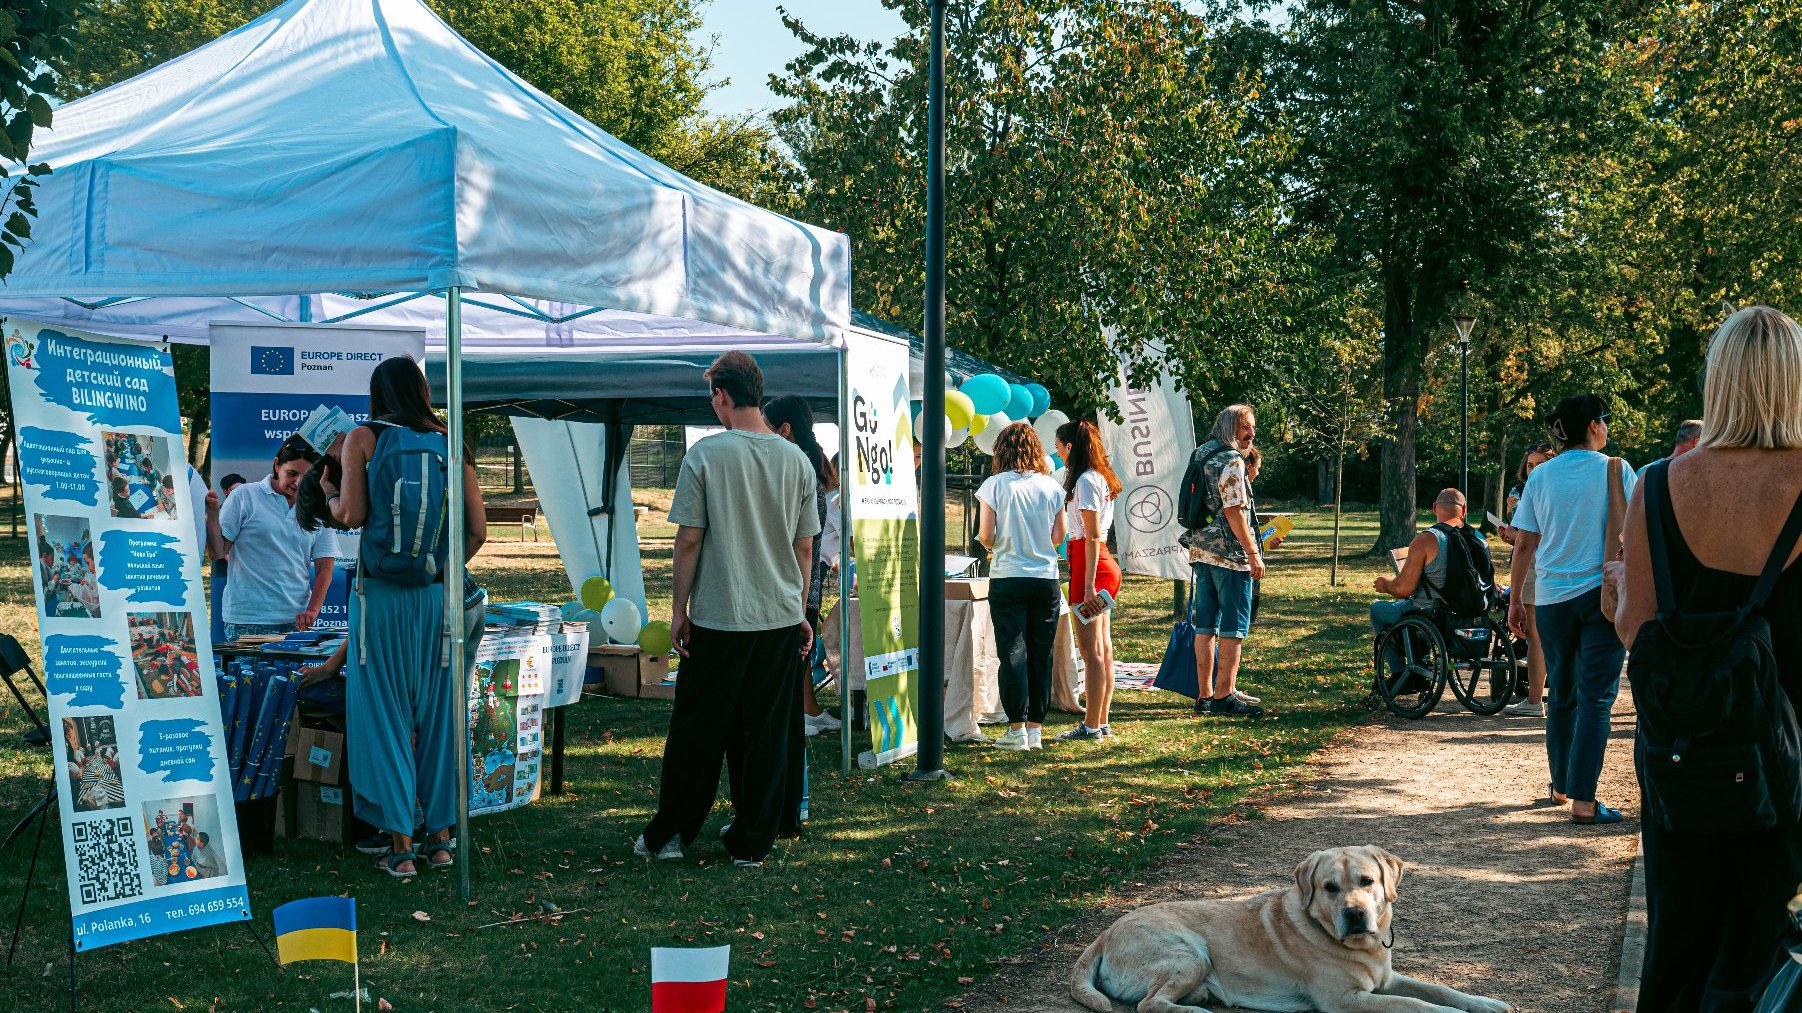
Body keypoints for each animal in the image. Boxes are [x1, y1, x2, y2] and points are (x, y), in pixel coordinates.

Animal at [1066, 843, 1506, 1009]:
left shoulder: (1386, 980)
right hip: (1189, 954)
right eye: (1329, 888)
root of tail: (1105, 932)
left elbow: (1440, 990)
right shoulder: (1345, 1000)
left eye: (1367, 881)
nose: (1354, 915)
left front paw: (1484, 1003)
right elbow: (1418, 1005)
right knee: (1149, 1004)